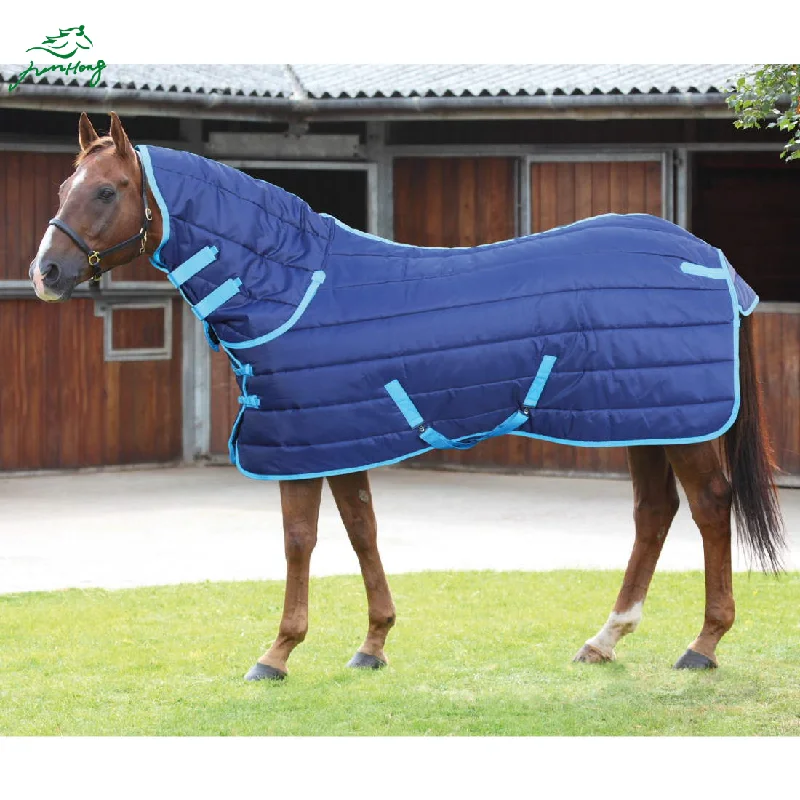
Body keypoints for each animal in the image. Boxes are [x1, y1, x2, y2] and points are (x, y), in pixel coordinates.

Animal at [29, 112, 785, 680]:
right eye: (65, 182)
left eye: (107, 191)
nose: (46, 273)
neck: (292, 286)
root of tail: (715, 262)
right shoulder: (338, 436)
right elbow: (361, 529)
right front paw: (372, 644)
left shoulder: (301, 443)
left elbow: (300, 541)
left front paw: (277, 653)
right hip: (642, 417)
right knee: (654, 513)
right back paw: (604, 639)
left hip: (680, 423)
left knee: (709, 507)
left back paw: (703, 644)